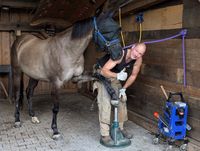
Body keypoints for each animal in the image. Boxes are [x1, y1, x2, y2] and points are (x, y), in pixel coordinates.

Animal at [10, 0, 125, 139]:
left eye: (118, 29)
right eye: (106, 30)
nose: (118, 54)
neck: (67, 50)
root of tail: (21, 39)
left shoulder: (77, 78)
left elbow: (100, 76)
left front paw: (113, 95)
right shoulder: (56, 83)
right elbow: (55, 108)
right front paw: (55, 131)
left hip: (34, 76)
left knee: (29, 92)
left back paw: (33, 117)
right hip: (16, 72)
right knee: (17, 95)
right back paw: (17, 120)